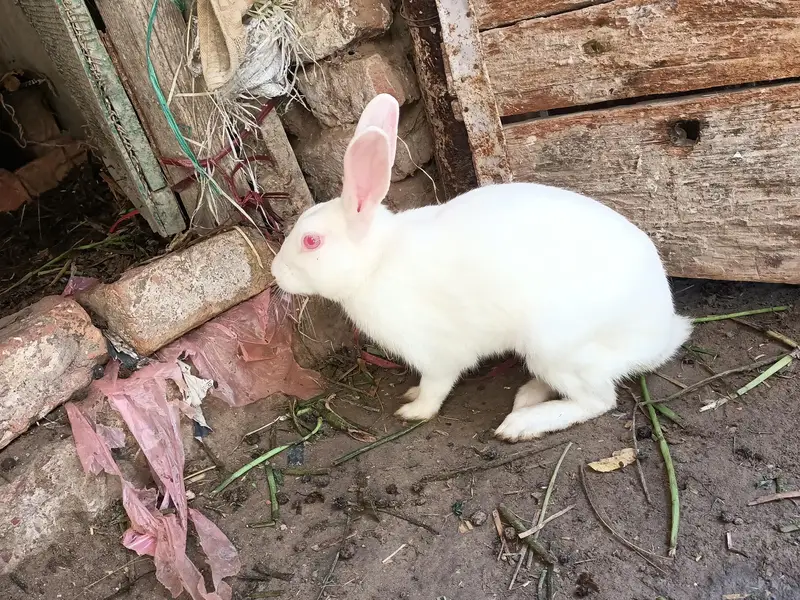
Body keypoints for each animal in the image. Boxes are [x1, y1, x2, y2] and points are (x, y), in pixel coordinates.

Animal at [271, 93, 692, 441]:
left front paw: (413, 409)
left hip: (556, 346)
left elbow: (436, 387)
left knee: (598, 401)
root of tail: (661, 333)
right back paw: (527, 395)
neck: (377, 261)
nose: (275, 272)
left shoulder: (438, 355)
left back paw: (522, 423)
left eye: (311, 241)